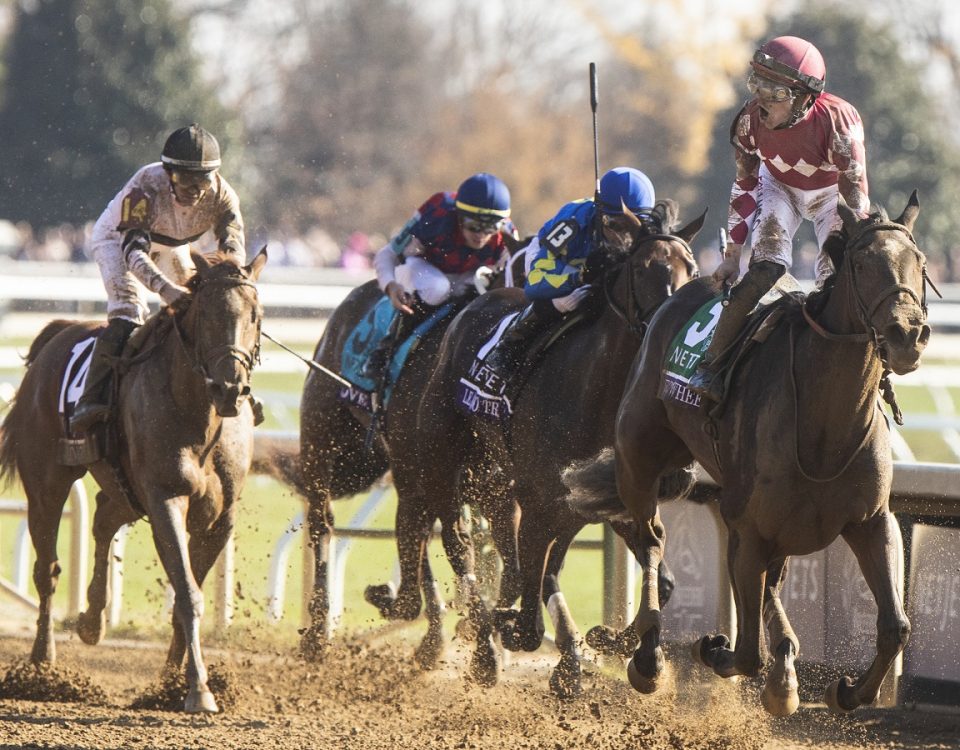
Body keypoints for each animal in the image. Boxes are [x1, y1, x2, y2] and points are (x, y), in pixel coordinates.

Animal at [0, 250, 266, 712]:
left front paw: (170, 684)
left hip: (124, 487)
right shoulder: (165, 499)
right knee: (47, 569)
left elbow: (185, 592)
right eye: (206, 314)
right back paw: (42, 666)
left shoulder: (219, 517)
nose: (230, 388)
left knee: (103, 519)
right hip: (47, 481)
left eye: (254, 314)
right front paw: (198, 689)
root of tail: (58, 333)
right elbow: (188, 594)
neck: (200, 416)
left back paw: (92, 620)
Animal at [376, 201, 704, 700]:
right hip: (441, 464)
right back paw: (483, 646)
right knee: (459, 544)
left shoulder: (618, 501)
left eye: (693, 268)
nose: (674, 330)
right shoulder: (535, 499)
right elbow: (530, 593)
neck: (597, 389)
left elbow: (658, 577)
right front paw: (517, 634)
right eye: (643, 269)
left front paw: (630, 651)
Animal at [568, 194, 932, 716]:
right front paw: (713, 647)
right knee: (651, 539)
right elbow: (744, 652)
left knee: (769, 584)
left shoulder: (870, 520)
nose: (907, 334)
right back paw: (648, 654)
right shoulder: (749, 525)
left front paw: (846, 690)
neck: (827, 425)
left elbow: (895, 625)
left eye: (919, 262)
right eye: (862, 263)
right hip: (638, 456)